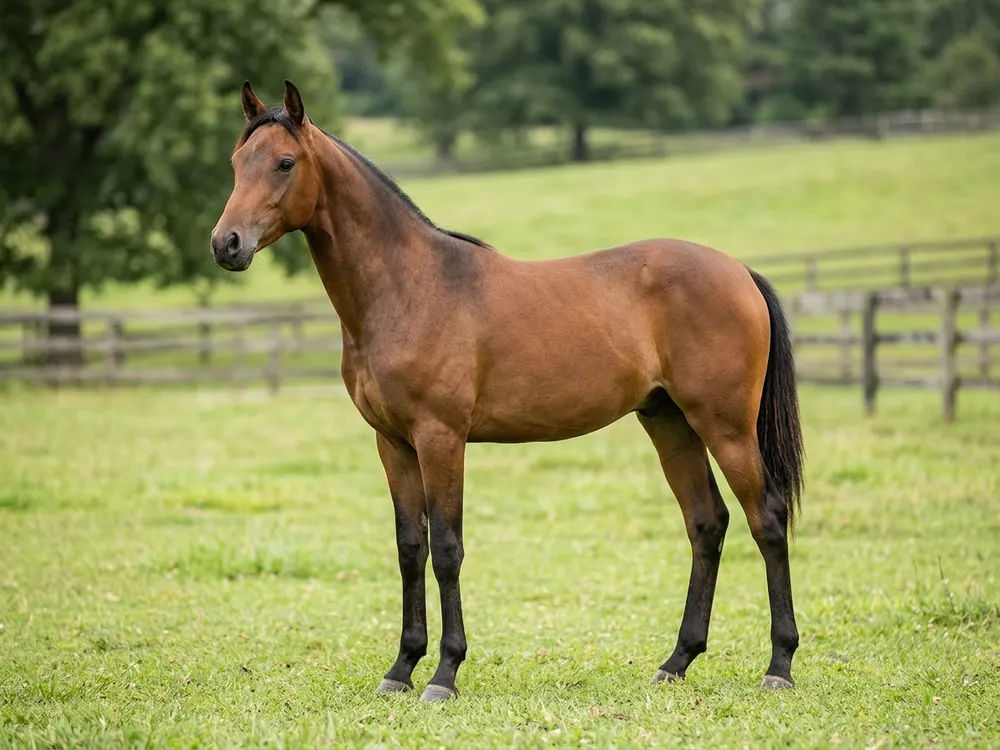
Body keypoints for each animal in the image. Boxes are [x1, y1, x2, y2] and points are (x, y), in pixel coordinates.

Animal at [211, 81, 805, 702]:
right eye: (236, 162)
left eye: (285, 162)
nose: (226, 244)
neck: (407, 287)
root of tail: (739, 271)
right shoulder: (392, 444)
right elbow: (410, 548)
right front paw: (401, 668)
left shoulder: (441, 439)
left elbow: (447, 549)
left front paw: (444, 674)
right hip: (670, 423)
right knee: (707, 523)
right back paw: (677, 661)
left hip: (725, 426)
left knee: (767, 519)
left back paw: (779, 666)